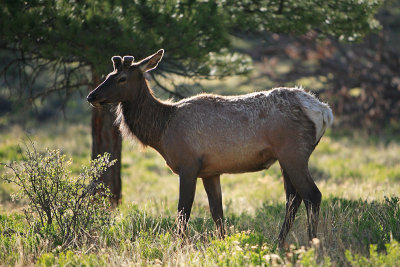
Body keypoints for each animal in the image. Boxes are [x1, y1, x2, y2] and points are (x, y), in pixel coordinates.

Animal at [88, 48, 334, 247]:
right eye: (108, 76)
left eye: (121, 78)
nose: (92, 95)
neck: (162, 131)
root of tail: (324, 111)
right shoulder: (210, 171)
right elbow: (218, 213)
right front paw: (223, 244)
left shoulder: (188, 165)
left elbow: (183, 212)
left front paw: (178, 247)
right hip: (285, 158)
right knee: (293, 198)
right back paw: (279, 243)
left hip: (294, 152)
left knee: (312, 195)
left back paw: (313, 244)